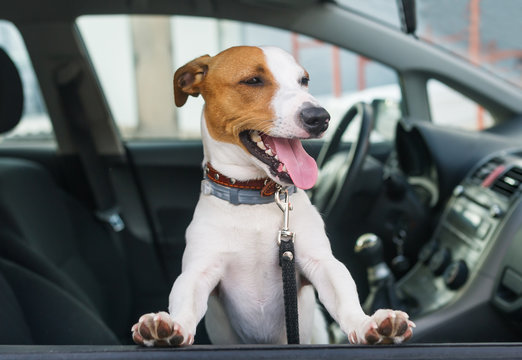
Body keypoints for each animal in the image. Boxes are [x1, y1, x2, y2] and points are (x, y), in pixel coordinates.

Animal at [131, 45, 414, 346]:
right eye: (253, 81)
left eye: (304, 80)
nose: (319, 117)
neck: (255, 195)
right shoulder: (200, 271)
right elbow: (185, 300)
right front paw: (167, 329)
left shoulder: (319, 262)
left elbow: (344, 294)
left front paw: (366, 324)